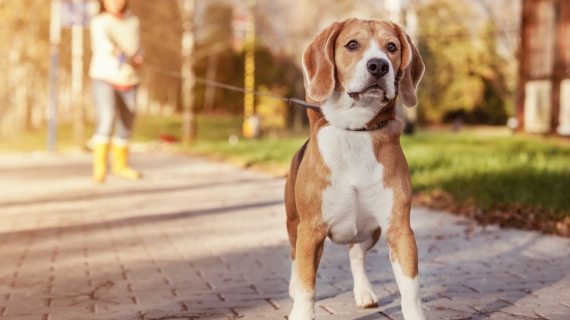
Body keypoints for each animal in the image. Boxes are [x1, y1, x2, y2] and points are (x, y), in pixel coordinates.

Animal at [282, 18, 422, 318]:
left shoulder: (399, 230)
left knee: (356, 254)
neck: (356, 130)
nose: (379, 65)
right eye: (352, 44)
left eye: (391, 47)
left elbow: (411, 292)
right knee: (294, 256)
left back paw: (363, 292)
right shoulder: (311, 231)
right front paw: (300, 305)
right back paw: (292, 285)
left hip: (371, 231)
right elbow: (307, 286)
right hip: (294, 222)